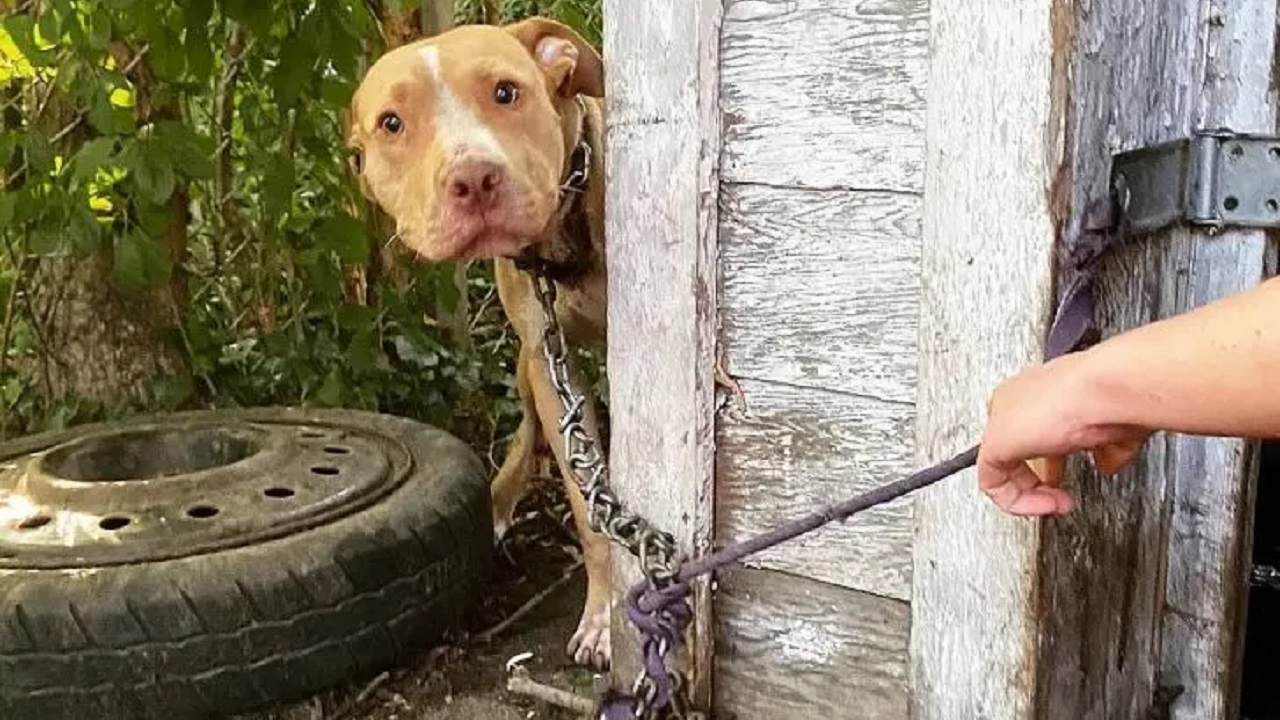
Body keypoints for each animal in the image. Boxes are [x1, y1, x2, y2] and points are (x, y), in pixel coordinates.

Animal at [348, 16, 611, 666]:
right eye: (392, 123)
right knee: (527, 432)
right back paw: (495, 501)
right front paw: (607, 612)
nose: (473, 177)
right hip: (525, 365)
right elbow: (588, 504)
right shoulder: (548, 362)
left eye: (506, 92)